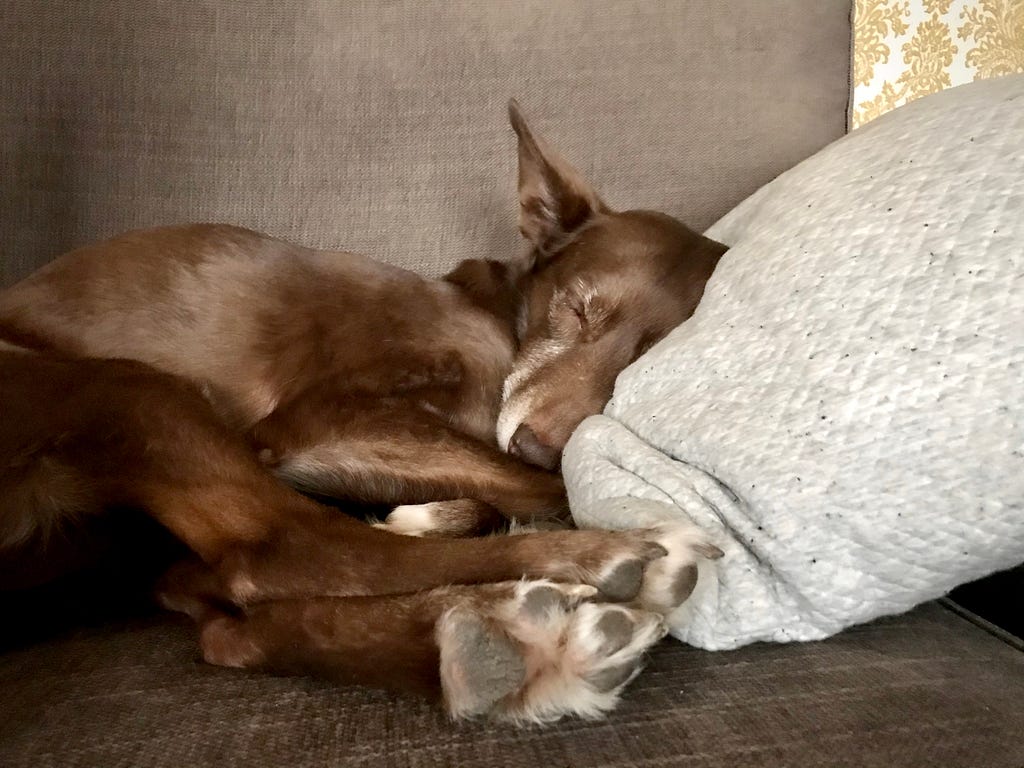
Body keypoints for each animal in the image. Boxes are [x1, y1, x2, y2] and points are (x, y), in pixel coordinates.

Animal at [0, 100, 729, 720]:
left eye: (642, 362)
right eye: (576, 307)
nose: (536, 445)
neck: (500, 319)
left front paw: (431, 518)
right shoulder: (319, 423)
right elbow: (539, 487)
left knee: (228, 628)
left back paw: (509, 646)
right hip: (127, 390)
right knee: (287, 551)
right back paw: (610, 564)